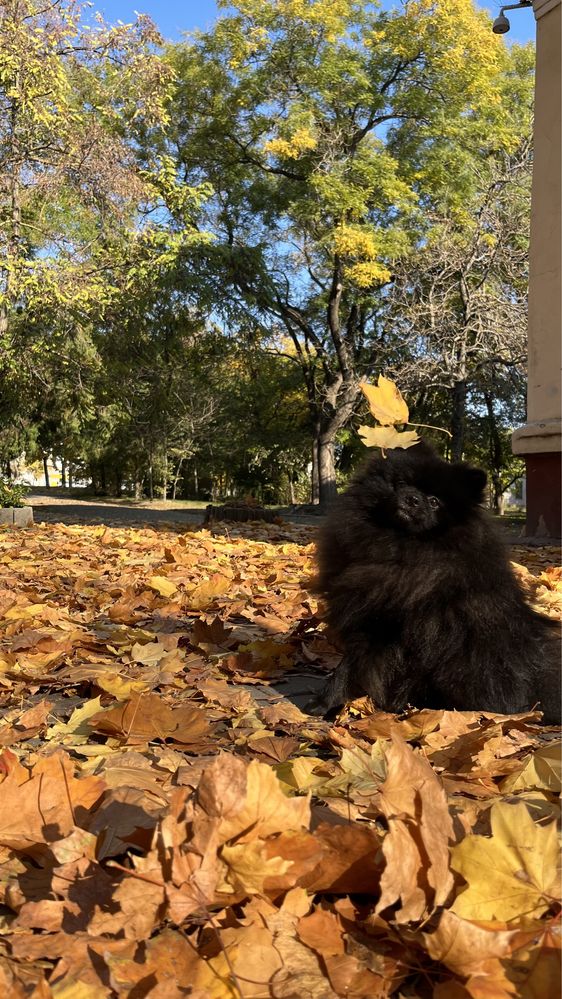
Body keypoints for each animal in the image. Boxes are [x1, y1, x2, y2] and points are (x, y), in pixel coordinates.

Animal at [306, 442, 560, 724]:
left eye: (435, 501)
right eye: (402, 483)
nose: (413, 498)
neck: (400, 546)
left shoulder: (384, 624)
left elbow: (348, 667)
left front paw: (325, 702)